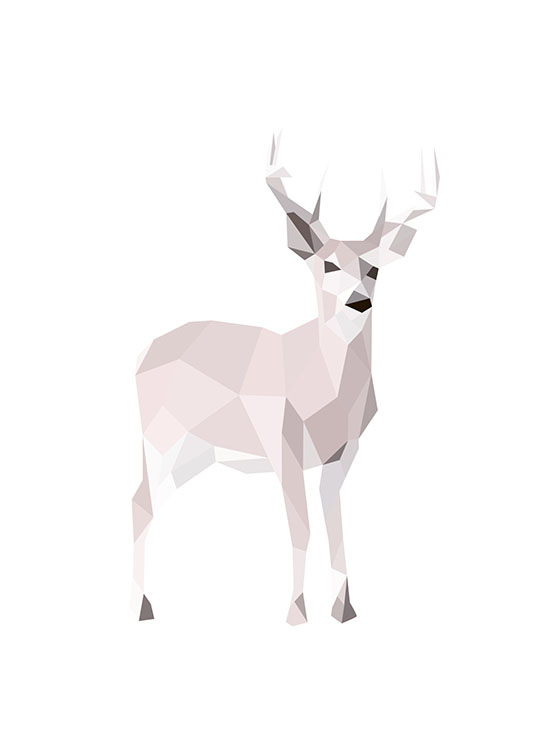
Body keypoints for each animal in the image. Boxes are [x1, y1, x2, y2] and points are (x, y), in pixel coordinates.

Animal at [131, 135, 439, 625]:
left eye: (373, 269)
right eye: (328, 265)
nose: (360, 302)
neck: (327, 393)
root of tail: (142, 356)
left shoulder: (342, 453)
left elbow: (336, 526)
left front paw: (345, 609)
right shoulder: (282, 444)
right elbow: (301, 528)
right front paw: (296, 612)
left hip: (192, 455)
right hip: (160, 441)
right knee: (139, 503)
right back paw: (143, 608)